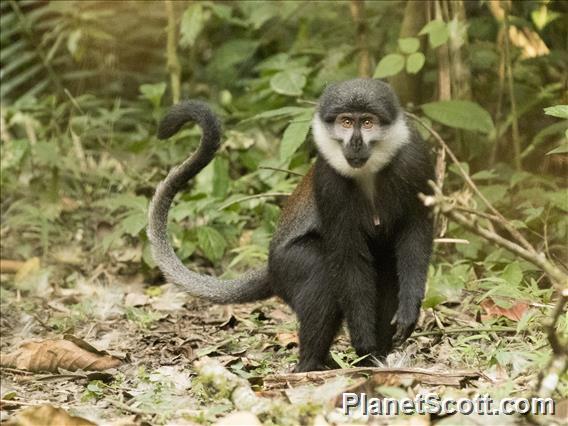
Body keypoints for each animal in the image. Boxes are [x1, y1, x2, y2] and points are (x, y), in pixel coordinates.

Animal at [148, 79, 434, 372]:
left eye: (367, 122)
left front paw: (407, 313)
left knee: (386, 270)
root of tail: (271, 268)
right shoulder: (328, 181)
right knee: (321, 272)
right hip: (288, 265)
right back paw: (311, 364)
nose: (354, 143)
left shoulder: (416, 160)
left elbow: (416, 235)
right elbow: (347, 256)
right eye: (345, 122)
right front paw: (364, 345)